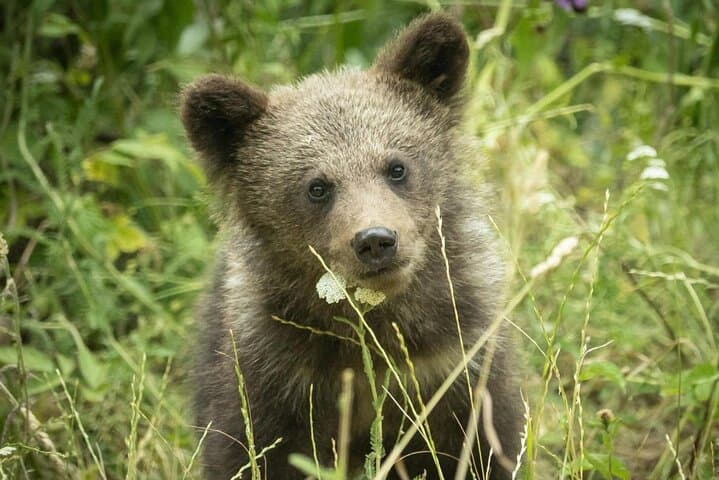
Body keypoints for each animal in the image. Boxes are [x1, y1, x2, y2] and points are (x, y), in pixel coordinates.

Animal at [181, 12, 521, 480]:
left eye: (396, 166)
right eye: (317, 186)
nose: (376, 240)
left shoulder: (456, 363)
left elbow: (482, 448)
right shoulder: (272, 376)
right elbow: (247, 452)